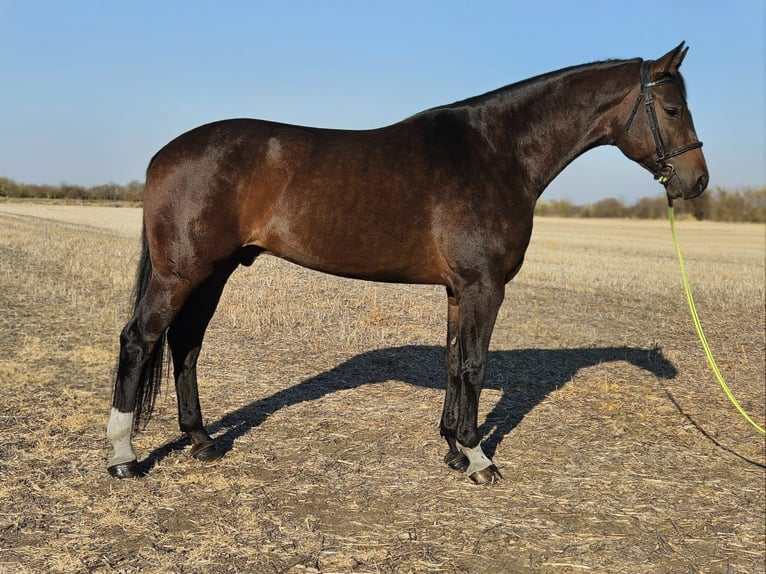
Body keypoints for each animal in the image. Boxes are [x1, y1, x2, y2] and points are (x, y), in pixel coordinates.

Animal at [107, 43, 707, 484]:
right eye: (672, 109)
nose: (696, 182)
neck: (498, 153)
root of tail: (164, 155)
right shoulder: (484, 287)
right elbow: (474, 365)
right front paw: (479, 459)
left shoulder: (458, 289)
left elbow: (453, 362)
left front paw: (453, 449)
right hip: (181, 273)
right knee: (140, 340)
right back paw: (124, 457)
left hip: (214, 272)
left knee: (185, 343)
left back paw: (202, 441)